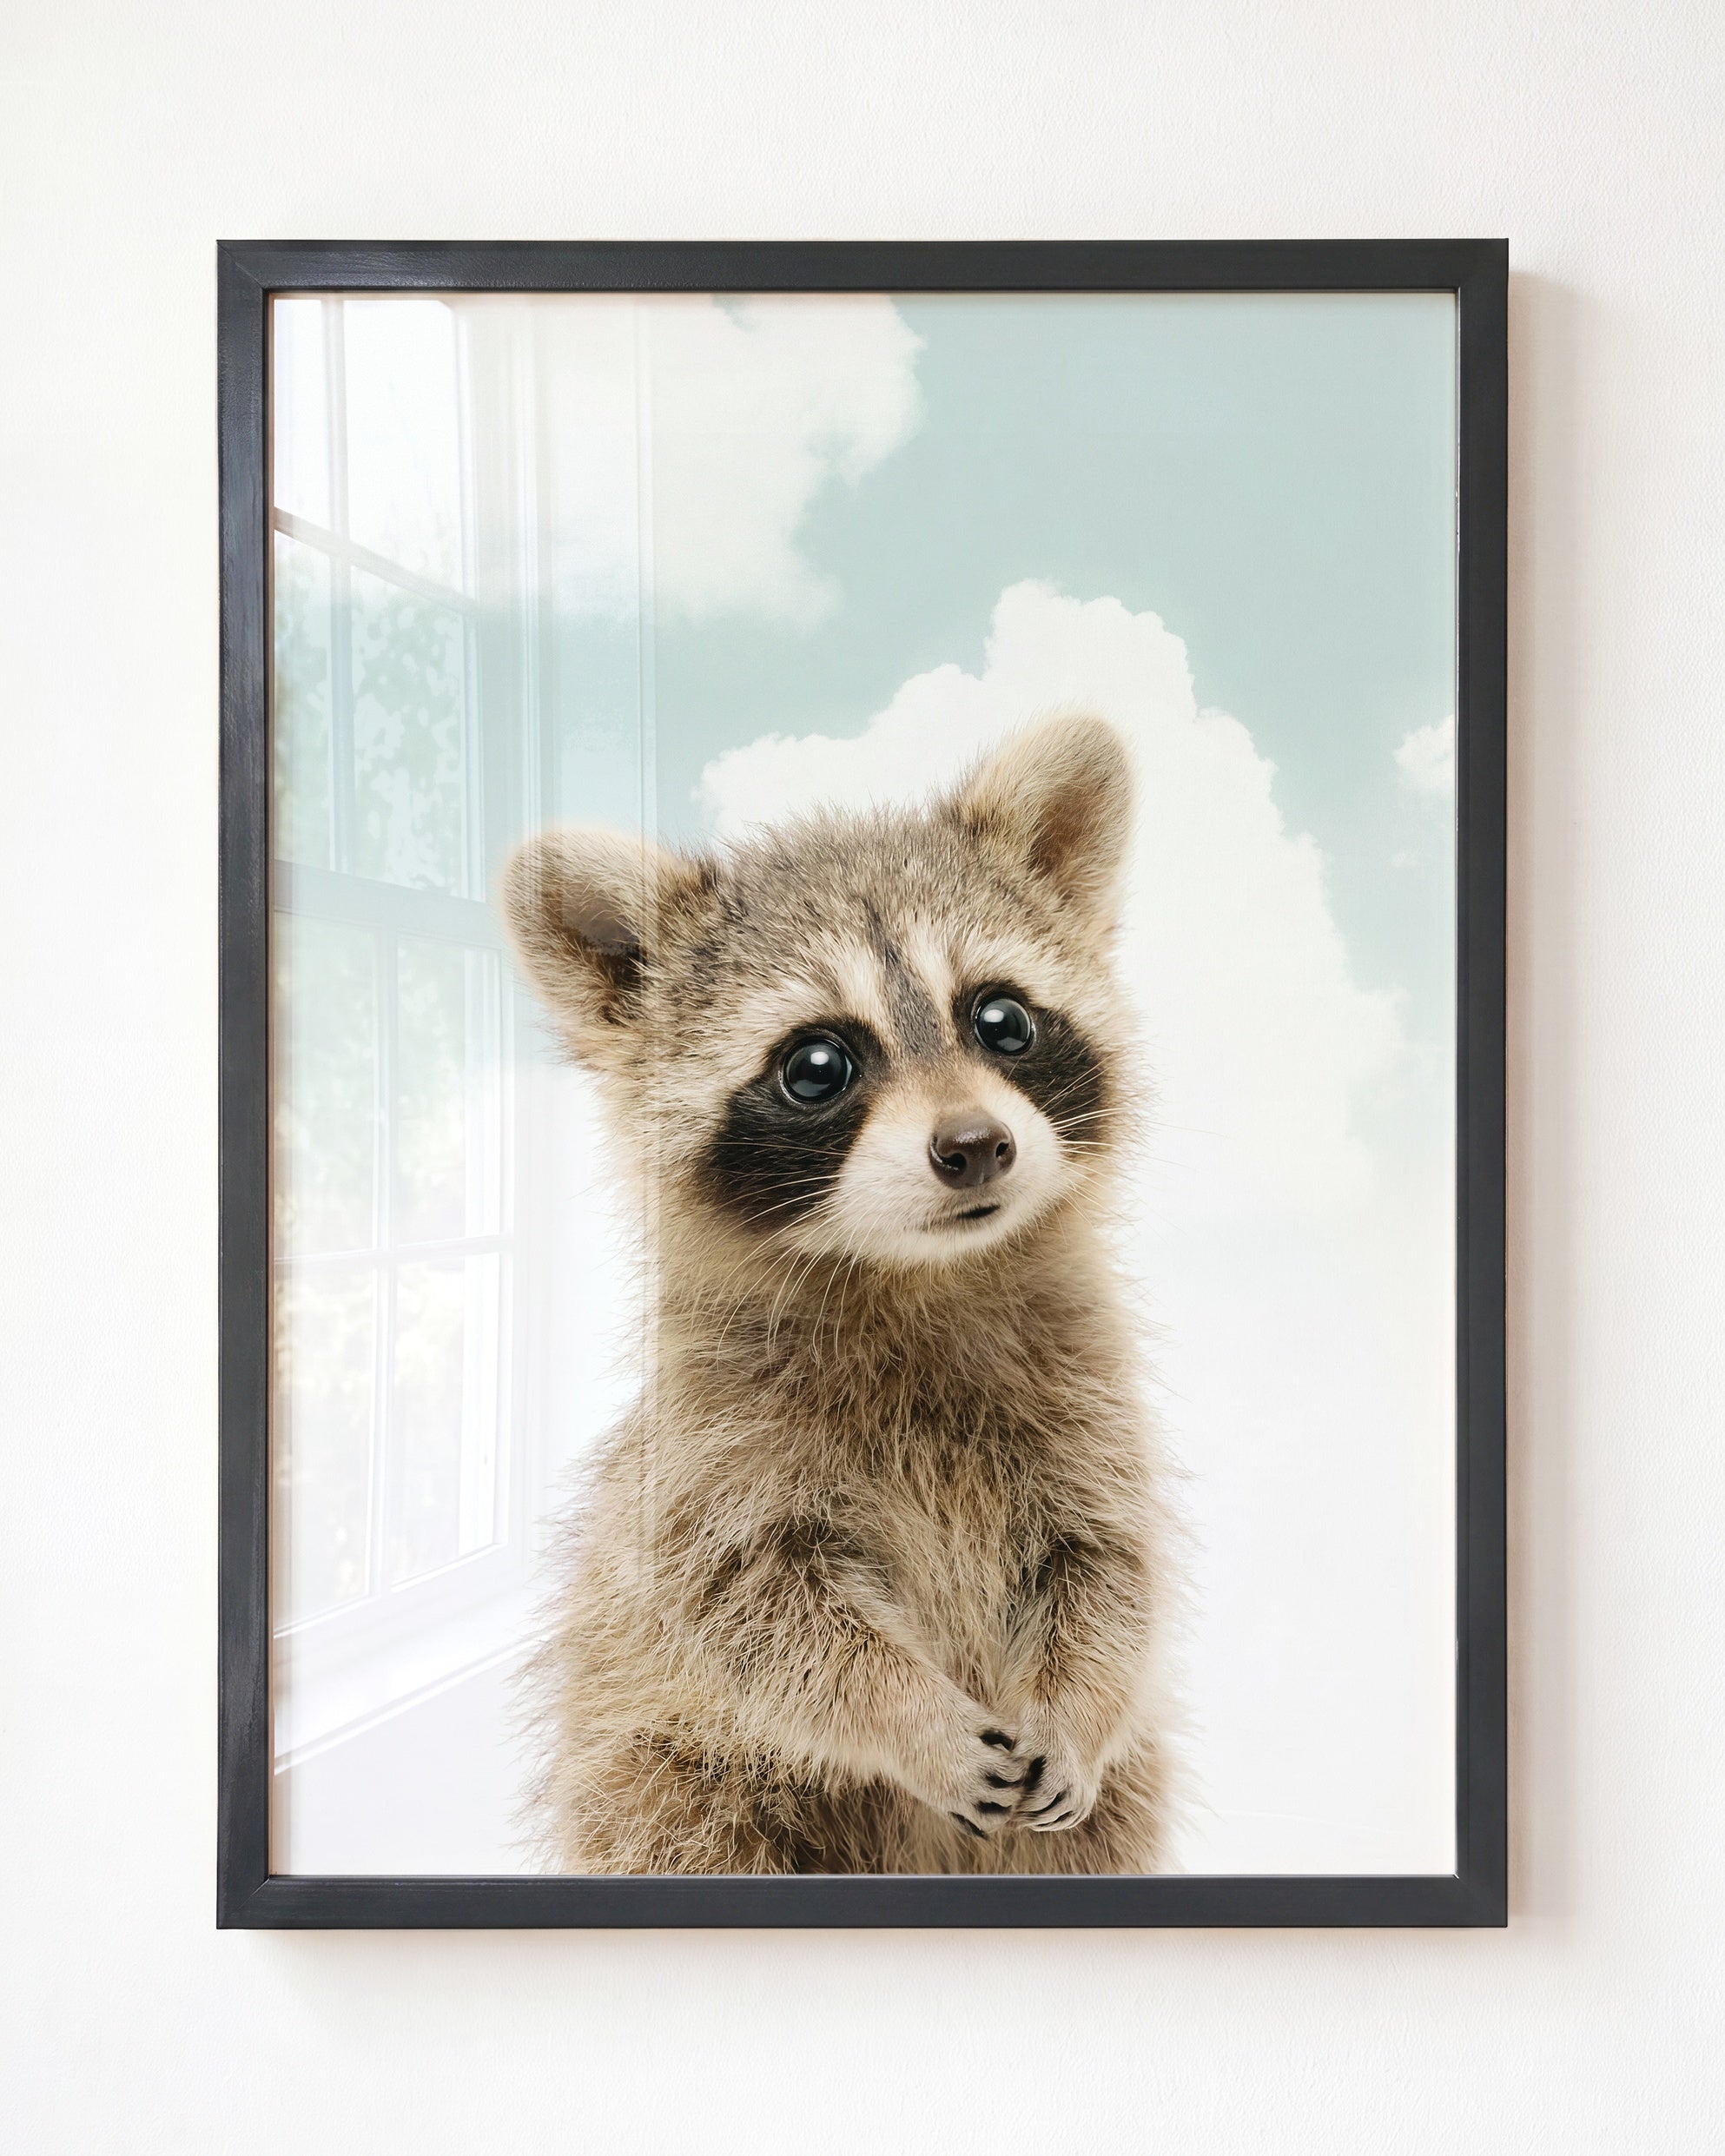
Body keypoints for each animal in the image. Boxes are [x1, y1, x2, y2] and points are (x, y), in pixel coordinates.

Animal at [502, 714, 1179, 1874]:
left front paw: (1080, 1703)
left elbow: (1108, 1568)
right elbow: (760, 1616)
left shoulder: (1088, 1403)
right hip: (666, 1777)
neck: (917, 1275)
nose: (975, 1145)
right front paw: (911, 1718)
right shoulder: (708, 1457)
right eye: (818, 1065)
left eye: (1002, 1019)